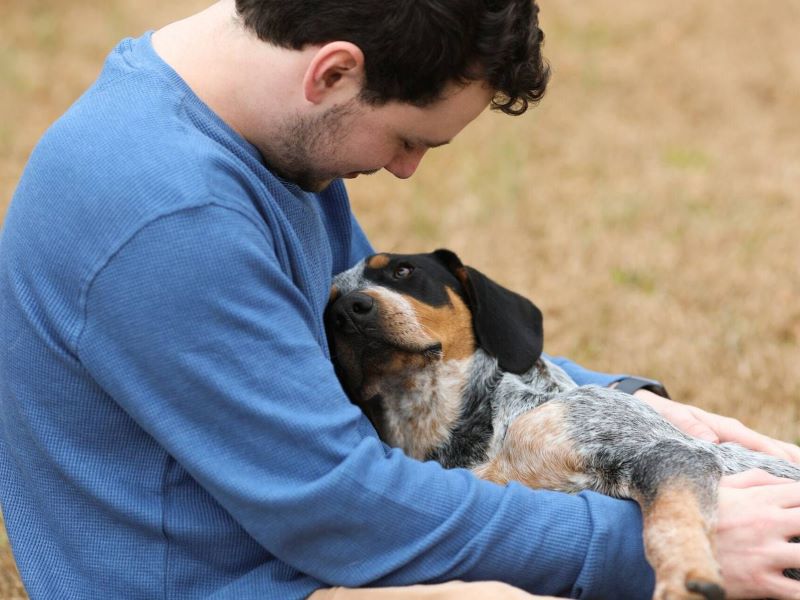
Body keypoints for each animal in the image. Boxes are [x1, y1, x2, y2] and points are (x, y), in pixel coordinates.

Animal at [326, 248, 800, 600]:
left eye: (403, 270)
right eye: (330, 302)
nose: (349, 309)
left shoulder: (663, 451)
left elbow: (667, 522)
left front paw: (686, 580)